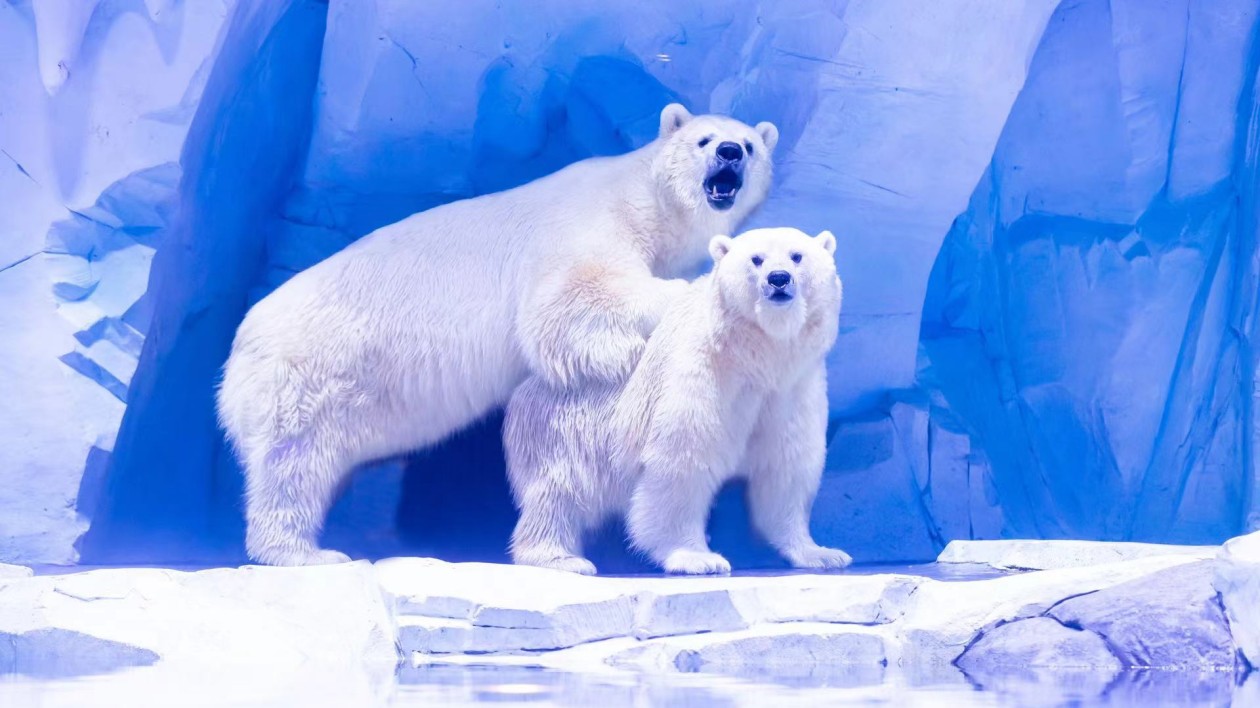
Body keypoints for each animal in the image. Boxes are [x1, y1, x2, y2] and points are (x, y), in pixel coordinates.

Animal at [216, 104, 779, 566]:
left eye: (749, 144)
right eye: (705, 140)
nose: (730, 153)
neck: (643, 200)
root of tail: (239, 350)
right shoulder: (586, 230)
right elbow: (571, 301)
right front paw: (671, 311)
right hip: (310, 375)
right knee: (295, 464)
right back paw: (304, 552)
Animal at [504, 226, 851, 575]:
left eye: (797, 255)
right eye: (756, 259)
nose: (778, 278)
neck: (754, 359)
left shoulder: (792, 389)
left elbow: (786, 466)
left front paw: (821, 553)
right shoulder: (702, 375)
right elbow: (683, 462)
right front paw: (698, 557)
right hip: (565, 433)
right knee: (560, 493)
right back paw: (562, 558)